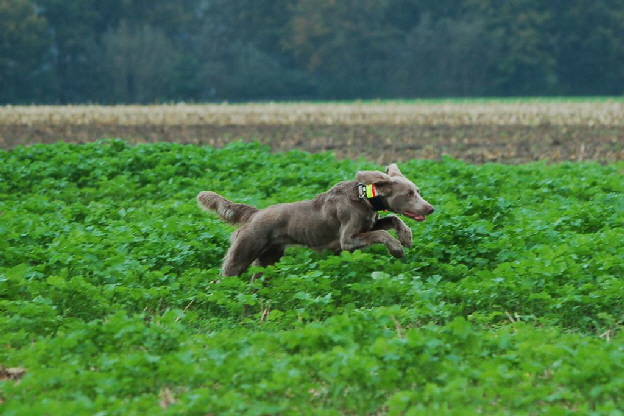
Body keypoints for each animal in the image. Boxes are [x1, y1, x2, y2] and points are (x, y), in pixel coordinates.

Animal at [199, 163, 434, 276]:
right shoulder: (347, 240)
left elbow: (392, 219)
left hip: (269, 260)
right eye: (409, 194)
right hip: (243, 253)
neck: (363, 198)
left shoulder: (368, 225)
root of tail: (254, 214)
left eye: (418, 191)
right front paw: (396, 248)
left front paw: (406, 236)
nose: (430, 208)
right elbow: (382, 233)